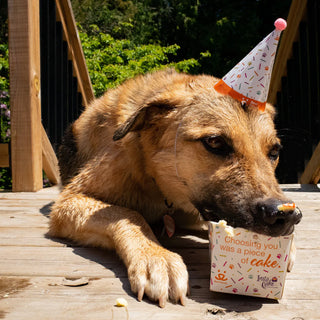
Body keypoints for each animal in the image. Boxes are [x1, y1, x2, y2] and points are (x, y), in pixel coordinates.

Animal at [50, 69, 302, 308]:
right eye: (215, 142)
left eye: (274, 151)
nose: (287, 216)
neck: (155, 180)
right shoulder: (68, 202)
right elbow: (126, 213)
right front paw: (156, 256)